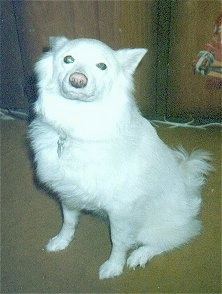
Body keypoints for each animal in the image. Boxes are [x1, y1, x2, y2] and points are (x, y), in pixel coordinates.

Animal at [29, 36, 212, 278]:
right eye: (68, 60)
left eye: (102, 66)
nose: (78, 80)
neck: (78, 128)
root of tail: (190, 190)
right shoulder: (68, 195)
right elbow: (68, 222)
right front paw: (61, 241)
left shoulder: (121, 210)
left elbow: (118, 241)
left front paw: (114, 267)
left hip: (151, 227)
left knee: (173, 239)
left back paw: (139, 255)